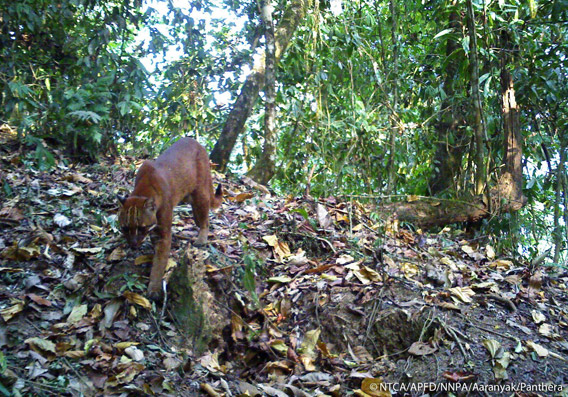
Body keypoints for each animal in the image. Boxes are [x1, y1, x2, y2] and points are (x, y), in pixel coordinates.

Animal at [117, 138, 222, 296]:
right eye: (124, 228)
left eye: (141, 228)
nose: (133, 244)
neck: (143, 191)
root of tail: (197, 142)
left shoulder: (164, 232)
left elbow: (160, 261)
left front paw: (154, 289)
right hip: (188, 195)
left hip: (200, 193)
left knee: (205, 217)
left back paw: (201, 239)